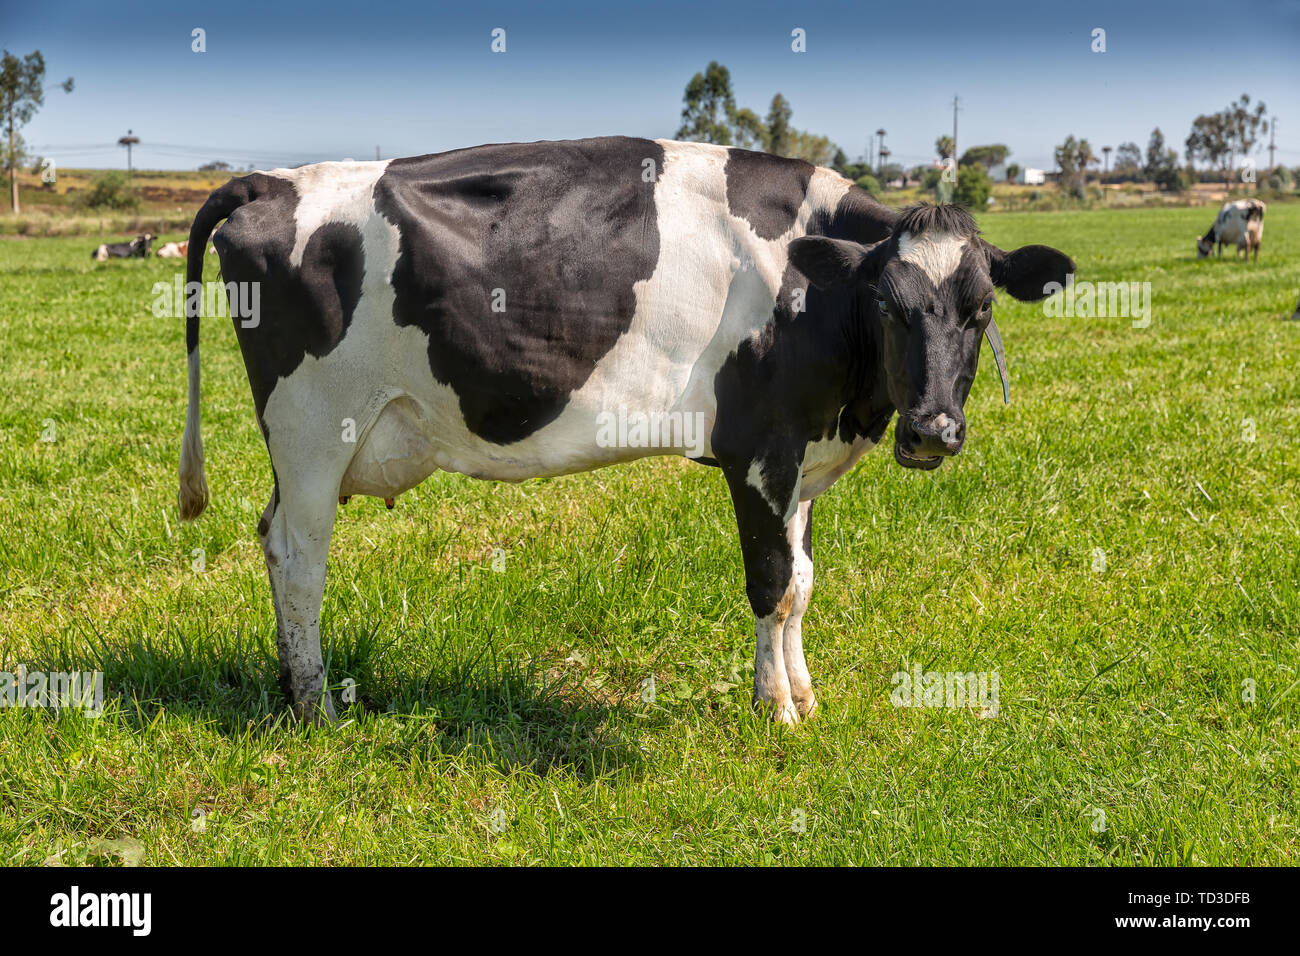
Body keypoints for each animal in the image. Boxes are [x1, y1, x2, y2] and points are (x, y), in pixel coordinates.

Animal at [177, 137, 1073, 724]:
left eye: (980, 308)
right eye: (889, 306)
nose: (933, 431)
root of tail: (270, 181)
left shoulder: (803, 461)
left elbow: (804, 582)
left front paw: (804, 691)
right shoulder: (757, 452)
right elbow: (770, 583)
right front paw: (774, 709)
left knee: (271, 540)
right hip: (312, 432)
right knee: (299, 558)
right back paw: (315, 706)